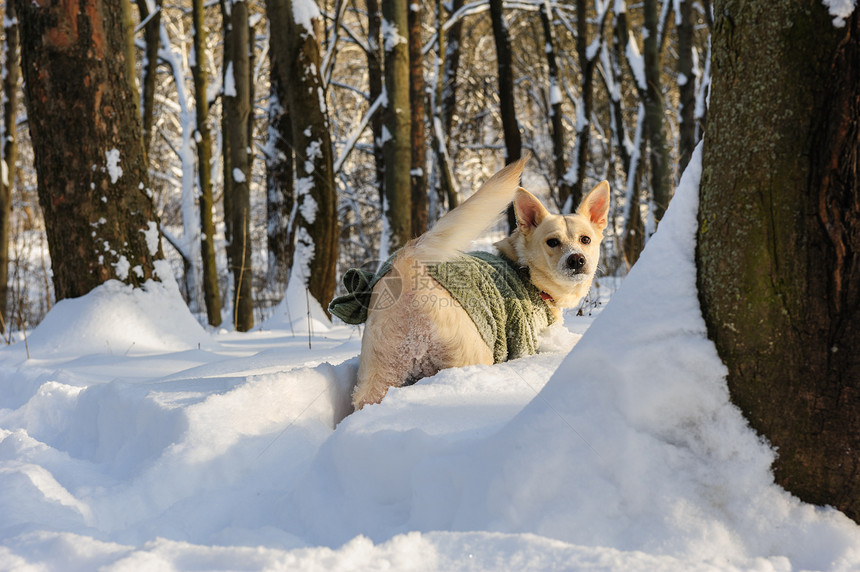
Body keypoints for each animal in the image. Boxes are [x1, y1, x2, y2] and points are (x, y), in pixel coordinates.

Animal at [330, 159, 612, 412]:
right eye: (552, 242)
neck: (524, 270)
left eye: (585, 239)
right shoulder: (524, 341)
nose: (576, 259)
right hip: (469, 354)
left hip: (380, 372)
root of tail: (407, 265)